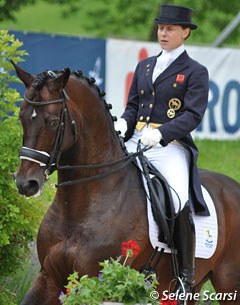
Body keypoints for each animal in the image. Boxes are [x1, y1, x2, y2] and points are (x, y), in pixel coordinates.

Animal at [12, 64, 240, 304]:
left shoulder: (98, 282)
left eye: (54, 121)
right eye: (22, 118)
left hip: (229, 283)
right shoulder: (48, 277)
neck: (77, 211)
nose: (25, 183)